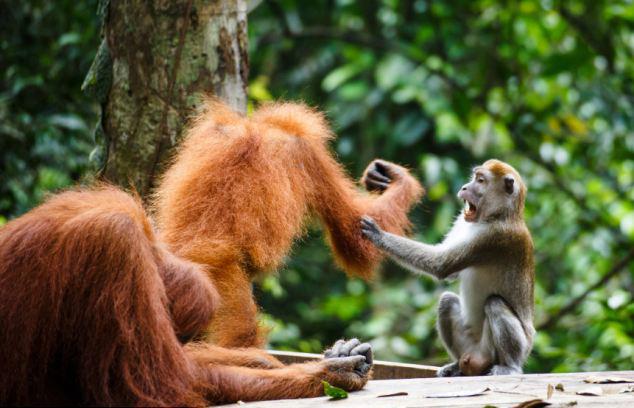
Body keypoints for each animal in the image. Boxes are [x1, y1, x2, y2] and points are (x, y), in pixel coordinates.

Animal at [358, 159, 532, 376]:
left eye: (480, 180)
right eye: (474, 177)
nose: (464, 187)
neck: (499, 215)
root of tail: (476, 357)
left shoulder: (494, 237)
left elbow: (441, 265)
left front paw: (378, 234)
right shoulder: (464, 221)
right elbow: (451, 273)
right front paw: (389, 173)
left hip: (509, 350)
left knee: (495, 303)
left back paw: (510, 366)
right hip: (470, 346)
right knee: (447, 301)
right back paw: (456, 366)